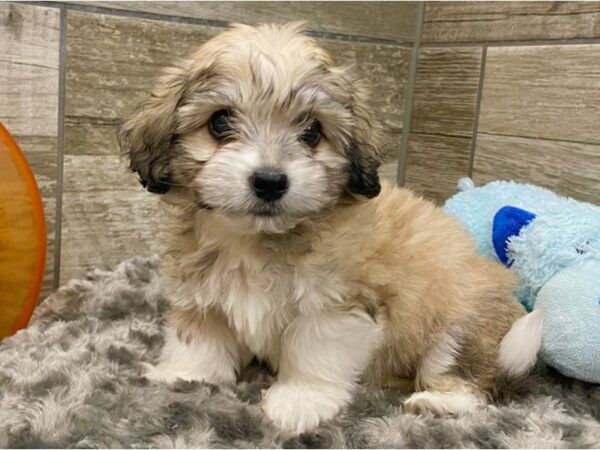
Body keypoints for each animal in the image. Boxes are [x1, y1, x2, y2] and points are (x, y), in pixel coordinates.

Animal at [118, 23, 544, 432]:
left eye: (312, 132)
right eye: (219, 121)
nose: (270, 181)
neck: (258, 238)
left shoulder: (338, 304)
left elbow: (313, 351)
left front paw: (299, 402)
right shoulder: (200, 292)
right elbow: (200, 338)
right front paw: (185, 376)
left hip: (459, 322)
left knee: (471, 380)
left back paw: (438, 401)